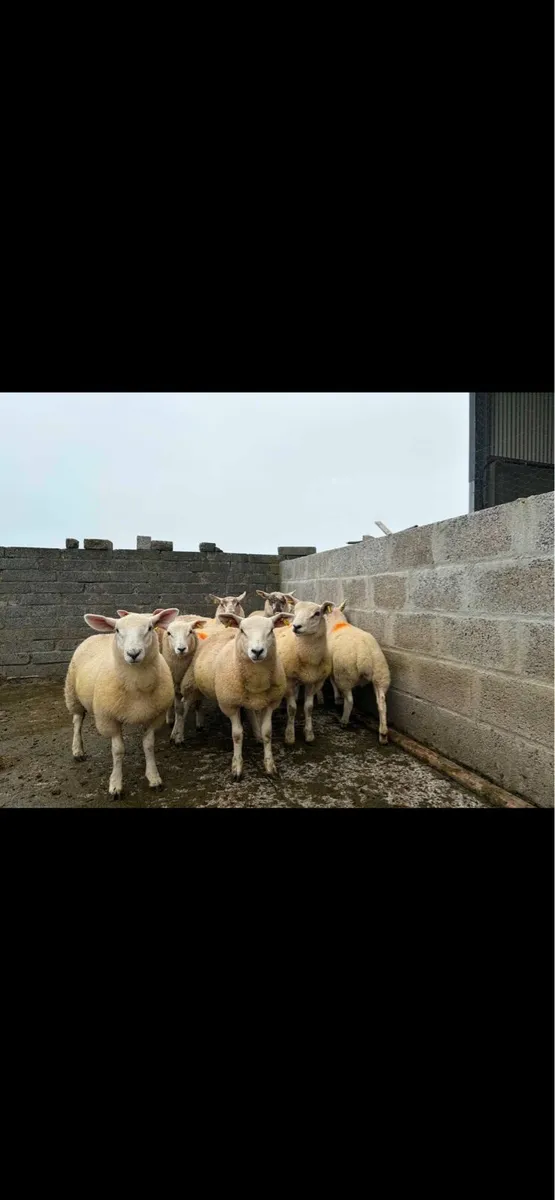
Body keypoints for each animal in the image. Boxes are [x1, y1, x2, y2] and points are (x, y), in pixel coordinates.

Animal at [64, 608, 178, 797]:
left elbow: (148, 746)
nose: (133, 653)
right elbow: (118, 751)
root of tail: (99, 634)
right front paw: (116, 784)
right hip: (72, 693)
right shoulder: (109, 719)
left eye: (150, 627)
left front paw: (153, 777)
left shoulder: (154, 716)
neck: (136, 686)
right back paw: (77, 750)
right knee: (77, 721)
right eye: (117, 630)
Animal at [187, 611, 292, 778]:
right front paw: (237, 767)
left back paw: (257, 735)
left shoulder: (270, 703)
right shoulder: (230, 705)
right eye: (242, 631)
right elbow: (237, 735)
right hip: (194, 683)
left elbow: (268, 733)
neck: (257, 681)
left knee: (250, 711)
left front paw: (270, 765)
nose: (257, 651)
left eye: (270, 630)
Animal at [274, 600, 333, 744]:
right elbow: (292, 709)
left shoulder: (314, 681)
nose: (296, 626)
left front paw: (309, 733)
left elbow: (309, 708)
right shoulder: (289, 681)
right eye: (295, 611)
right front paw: (290, 735)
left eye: (317, 613)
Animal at [324, 602, 390, 741]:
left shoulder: (332, 668)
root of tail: (364, 653)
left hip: (344, 675)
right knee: (381, 702)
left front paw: (337, 698)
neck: (337, 624)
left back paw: (344, 721)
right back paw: (383, 734)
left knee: (349, 700)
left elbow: (332, 682)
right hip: (381, 674)